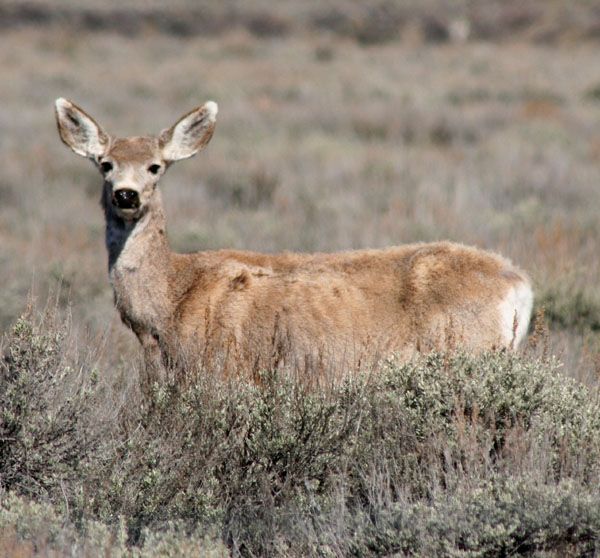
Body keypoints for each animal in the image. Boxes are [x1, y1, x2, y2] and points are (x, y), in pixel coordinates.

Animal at [55, 98, 536, 392]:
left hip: (469, 351)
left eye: (155, 166)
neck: (168, 304)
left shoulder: (224, 370)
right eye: (105, 164)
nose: (126, 195)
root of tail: (521, 285)